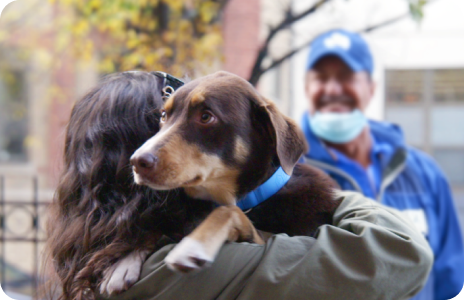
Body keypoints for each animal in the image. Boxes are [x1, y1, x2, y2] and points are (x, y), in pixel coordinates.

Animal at [130, 71, 338, 274]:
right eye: (164, 115)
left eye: (206, 117)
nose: (136, 162)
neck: (251, 198)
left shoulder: (266, 239)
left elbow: (227, 211)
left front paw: (193, 245)